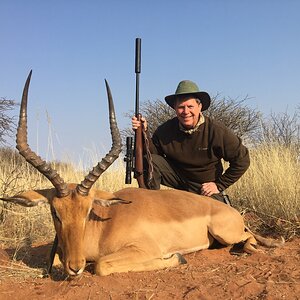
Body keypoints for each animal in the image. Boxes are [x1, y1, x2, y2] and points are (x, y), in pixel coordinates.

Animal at [0, 71, 284, 278]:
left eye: (88, 210)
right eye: (55, 212)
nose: (75, 266)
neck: (104, 225)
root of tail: (231, 212)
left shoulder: (141, 249)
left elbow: (101, 265)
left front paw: (176, 257)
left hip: (226, 232)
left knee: (248, 238)